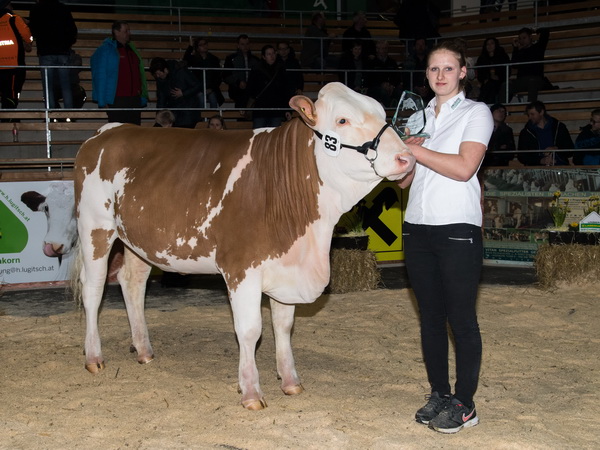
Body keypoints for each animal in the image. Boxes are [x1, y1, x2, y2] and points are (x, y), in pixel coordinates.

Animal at [72, 81, 414, 408]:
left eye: (382, 114)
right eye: (342, 119)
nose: (406, 157)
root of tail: (110, 130)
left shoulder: (285, 264)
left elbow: (283, 326)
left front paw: (291, 382)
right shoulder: (241, 269)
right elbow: (250, 330)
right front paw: (250, 392)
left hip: (138, 240)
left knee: (132, 283)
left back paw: (143, 350)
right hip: (95, 227)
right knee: (93, 288)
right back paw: (93, 357)